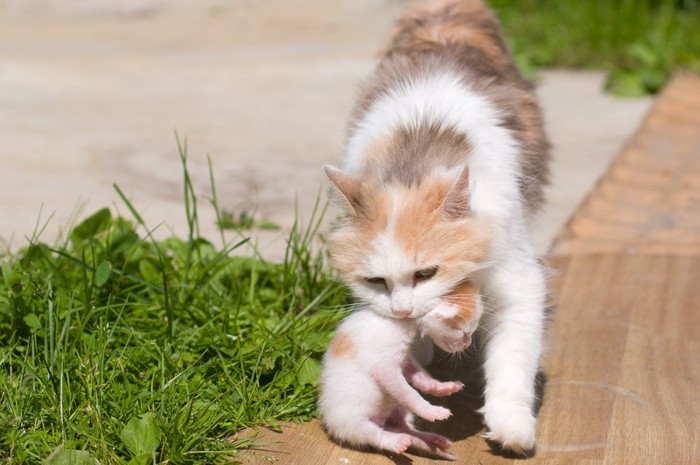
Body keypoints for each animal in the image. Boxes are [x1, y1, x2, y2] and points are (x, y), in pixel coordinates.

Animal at [326, 0, 548, 454]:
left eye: (427, 273)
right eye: (375, 281)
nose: (402, 310)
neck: (415, 164)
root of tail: (443, 13)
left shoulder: (519, 280)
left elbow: (512, 360)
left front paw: (512, 429)